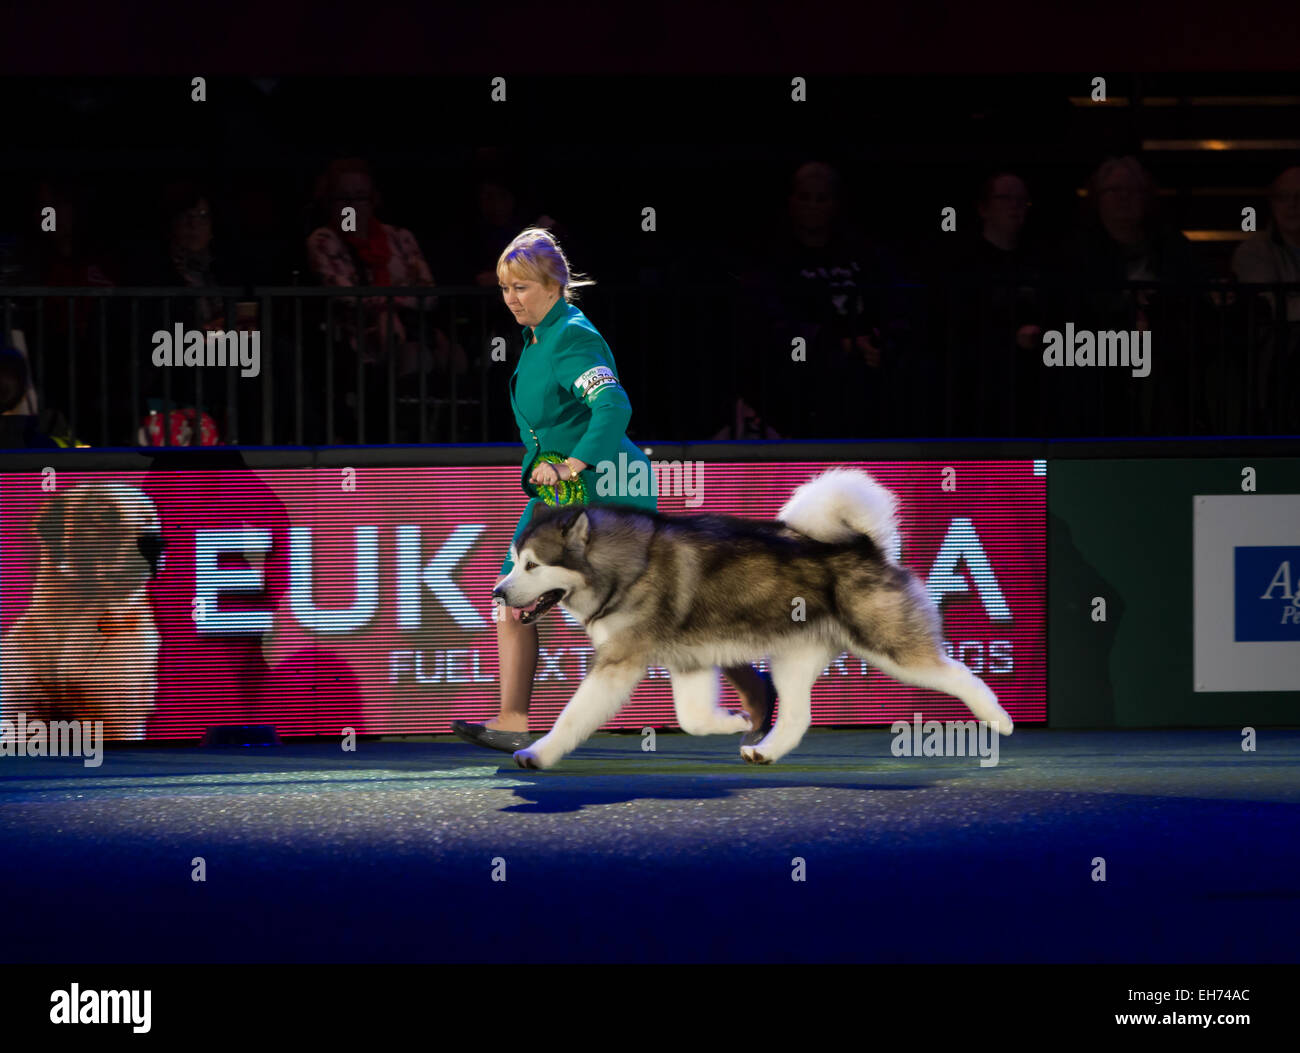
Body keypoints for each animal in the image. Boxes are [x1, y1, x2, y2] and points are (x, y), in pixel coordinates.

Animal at [496, 470, 1013, 769]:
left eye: (533, 566)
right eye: (516, 561)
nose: (498, 592)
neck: (626, 565)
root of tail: (866, 545)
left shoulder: (617, 664)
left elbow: (571, 717)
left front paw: (537, 753)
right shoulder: (689, 662)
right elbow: (693, 719)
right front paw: (735, 721)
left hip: (893, 647)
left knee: (958, 672)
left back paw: (1000, 719)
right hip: (793, 660)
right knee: (799, 716)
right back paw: (765, 748)